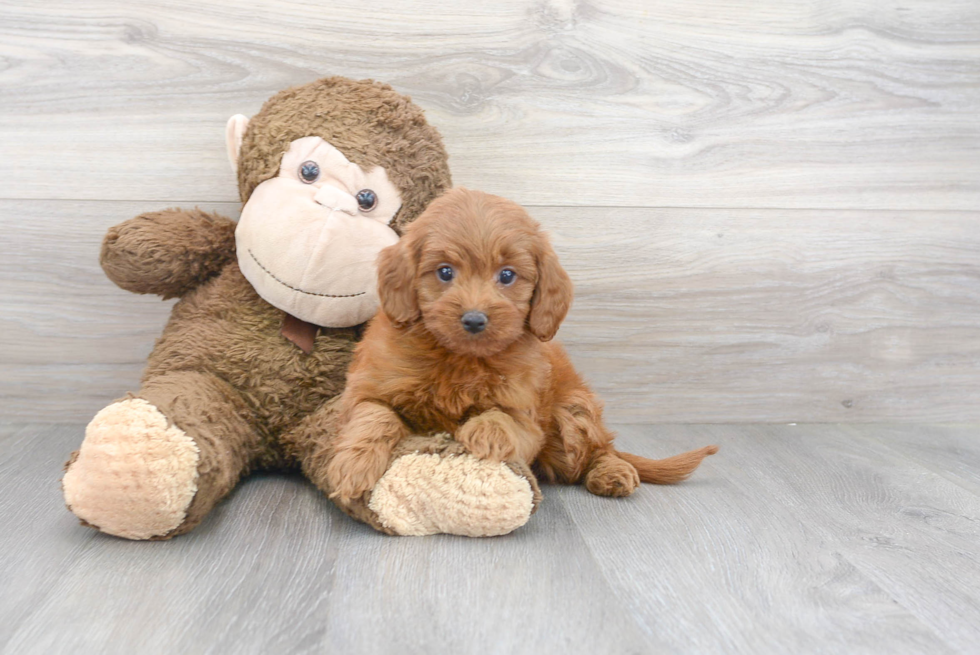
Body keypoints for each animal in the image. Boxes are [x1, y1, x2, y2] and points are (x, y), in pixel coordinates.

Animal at [326, 187, 716, 504]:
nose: (474, 319)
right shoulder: (365, 391)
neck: (459, 358)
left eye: (507, 275)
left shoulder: (528, 420)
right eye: (445, 272)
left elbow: (505, 418)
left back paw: (612, 472)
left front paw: (485, 431)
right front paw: (352, 466)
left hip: (571, 419)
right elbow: (374, 416)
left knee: (598, 451)